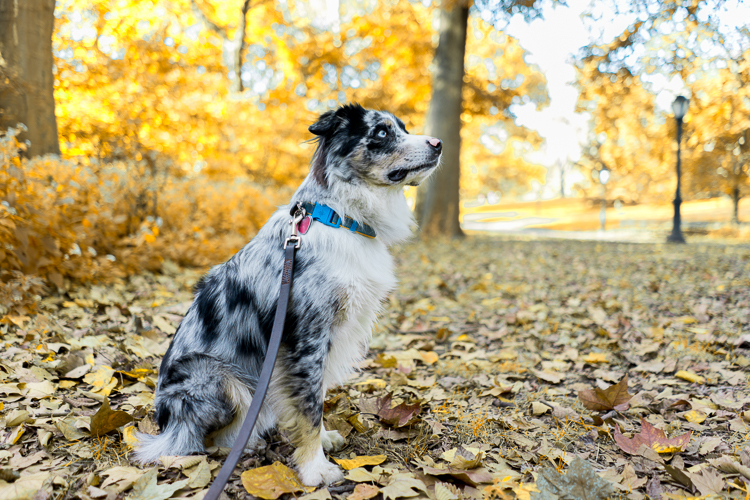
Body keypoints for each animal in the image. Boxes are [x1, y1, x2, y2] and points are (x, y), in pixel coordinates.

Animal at [133, 104, 444, 484]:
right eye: (382, 133)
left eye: (403, 128)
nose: (439, 144)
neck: (340, 215)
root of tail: (165, 424)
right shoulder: (306, 335)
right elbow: (309, 404)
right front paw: (314, 467)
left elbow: (315, 394)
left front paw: (321, 441)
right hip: (218, 377)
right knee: (199, 440)